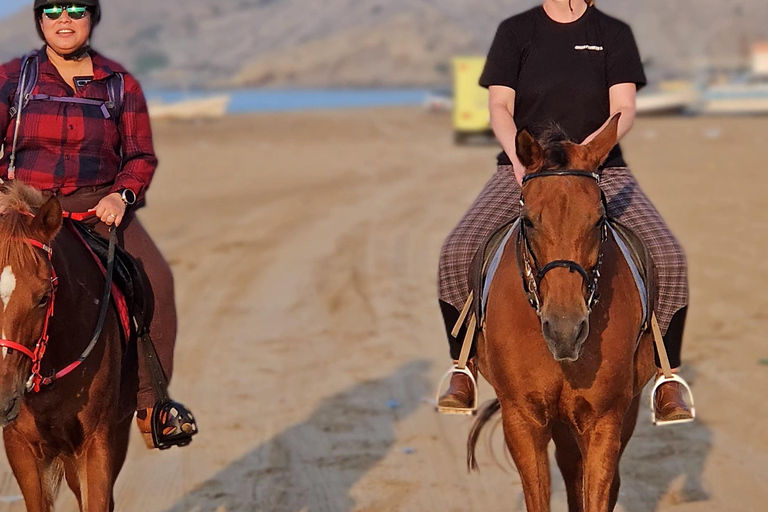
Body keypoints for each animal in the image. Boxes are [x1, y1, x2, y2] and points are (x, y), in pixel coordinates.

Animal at [472, 116, 656, 512]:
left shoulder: (604, 421)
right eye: (528, 220)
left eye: (599, 220)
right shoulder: (522, 420)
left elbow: (598, 491)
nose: (565, 331)